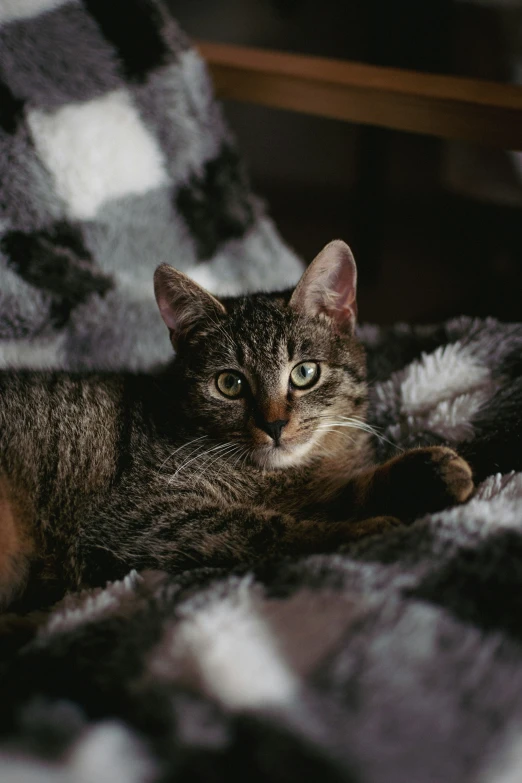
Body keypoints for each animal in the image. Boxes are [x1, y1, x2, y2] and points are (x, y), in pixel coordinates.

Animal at [0, 242, 472, 608]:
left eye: (305, 373)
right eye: (230, 383)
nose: (275, 424)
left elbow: (349, 489)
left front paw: (425, 472)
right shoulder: (138, 517)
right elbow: (264, 529)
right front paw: (363, 531)